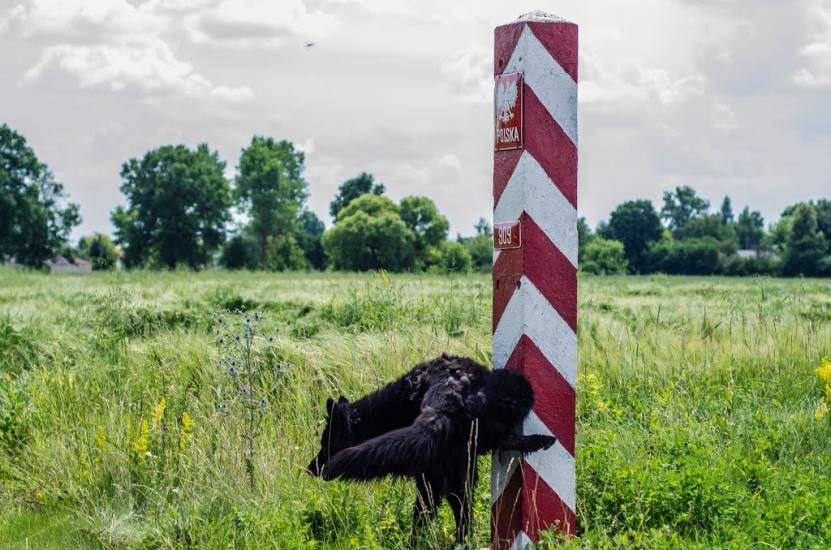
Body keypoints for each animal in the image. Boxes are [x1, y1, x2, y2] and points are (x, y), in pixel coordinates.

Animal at [308, 356, 556, 544]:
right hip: (514, 386)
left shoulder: (430, 475)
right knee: (463, 508)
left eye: (325, 443)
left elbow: (424, 512)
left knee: (437, 512)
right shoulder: (450, 471)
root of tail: (452, 398)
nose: (310, 469)